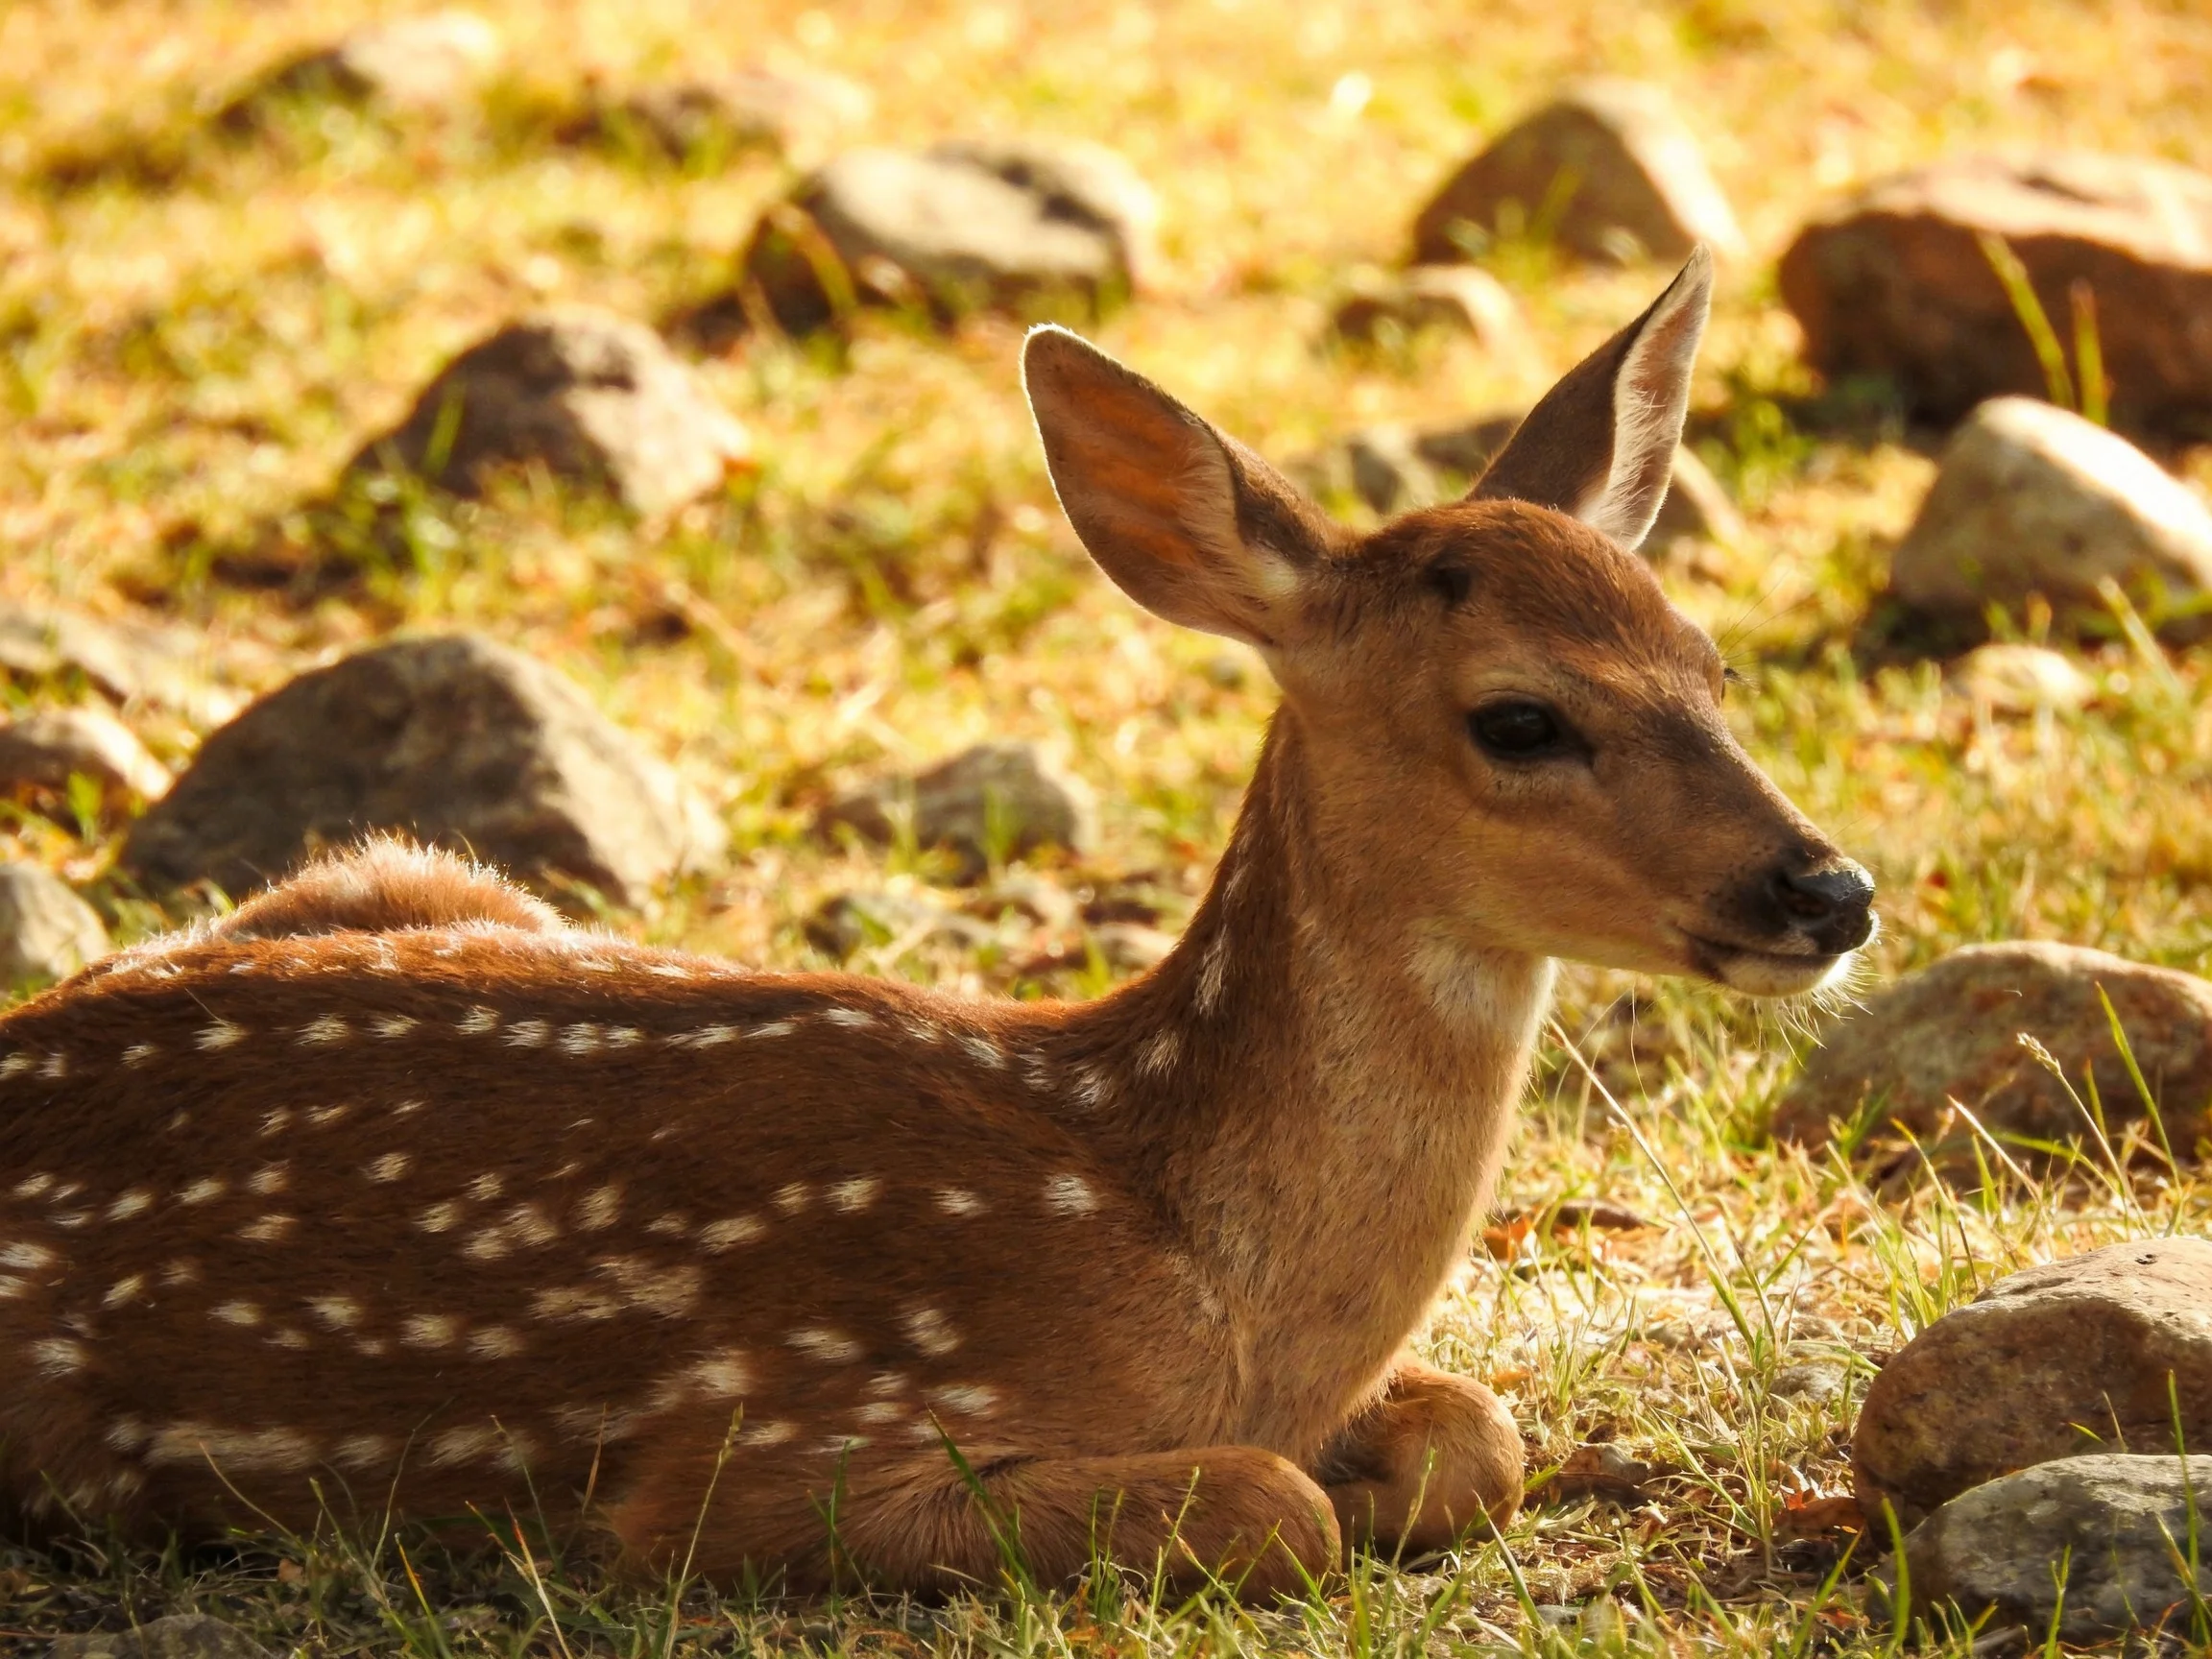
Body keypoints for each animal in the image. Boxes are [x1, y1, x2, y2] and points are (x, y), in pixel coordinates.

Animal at [0, 248, 1874, 1600]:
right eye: (1518, 718)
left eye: (1711, 667)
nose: (1826, 887)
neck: (1202, 1271)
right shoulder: (780, 1445)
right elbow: (1272, 1505)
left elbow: (1472, 1430)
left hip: (412, 872)